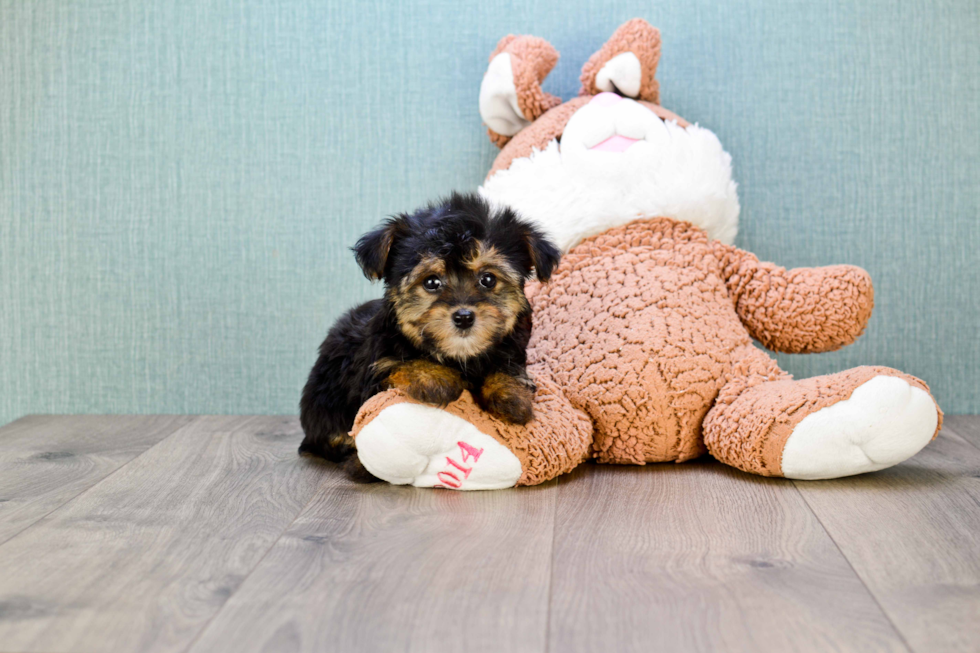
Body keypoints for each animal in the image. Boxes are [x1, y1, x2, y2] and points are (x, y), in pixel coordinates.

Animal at [296, 191, 560, 472]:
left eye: (488, 279)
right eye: (431, 282)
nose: (464, 317)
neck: (460, 356)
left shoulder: (510, 349)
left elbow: (507, 367)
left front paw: (511, 395)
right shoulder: (374, 370)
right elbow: (401, 362)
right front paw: (436, 378)